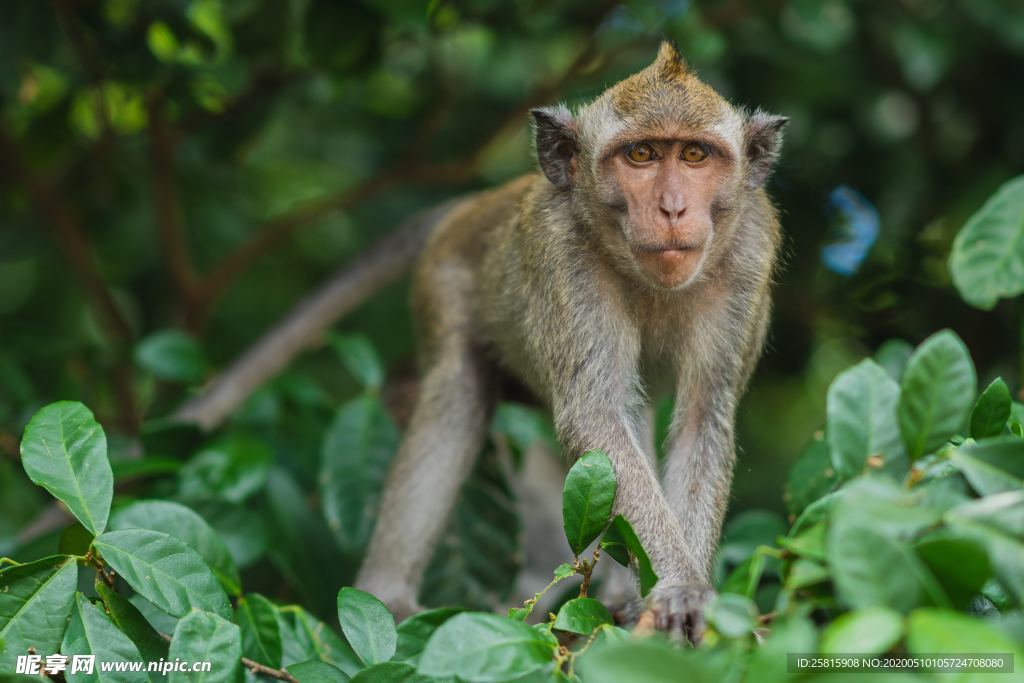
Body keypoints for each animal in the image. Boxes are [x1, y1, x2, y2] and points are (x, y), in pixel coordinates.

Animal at [356, 41, 786, 643]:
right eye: (642, 154)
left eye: (695, 155)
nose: (673, 208)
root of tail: (476, 204)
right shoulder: (564, 257)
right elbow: (595, 415)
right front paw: (680, 586)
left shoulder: (750, 250)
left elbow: (702, 418)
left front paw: (684, 597)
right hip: (443, 284)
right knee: (456, 398)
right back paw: (387, 598)